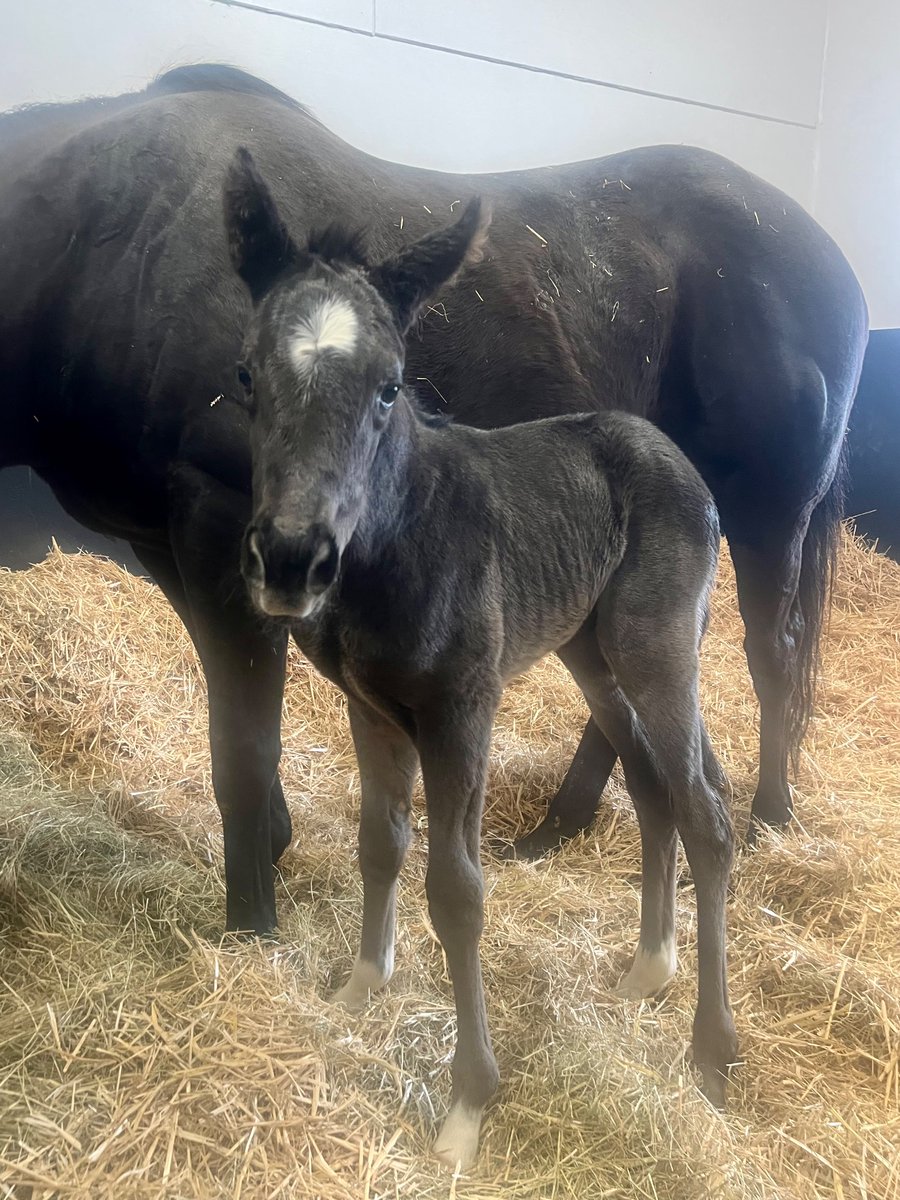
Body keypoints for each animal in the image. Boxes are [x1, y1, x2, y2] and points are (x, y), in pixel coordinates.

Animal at [225, 152, 739, 1171]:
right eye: (249, 374)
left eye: (390, 386)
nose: (292, 561)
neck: (399, 538)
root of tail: (677, 460)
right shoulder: (371, 706)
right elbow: (381, 841)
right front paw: (360, 988)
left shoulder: (462, 709)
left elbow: (456, 892)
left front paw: (468, 1105)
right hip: (590, 652)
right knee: (653, 784)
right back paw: (648, 969)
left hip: (658, 645)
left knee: (704, 810)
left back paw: (711, 1047)